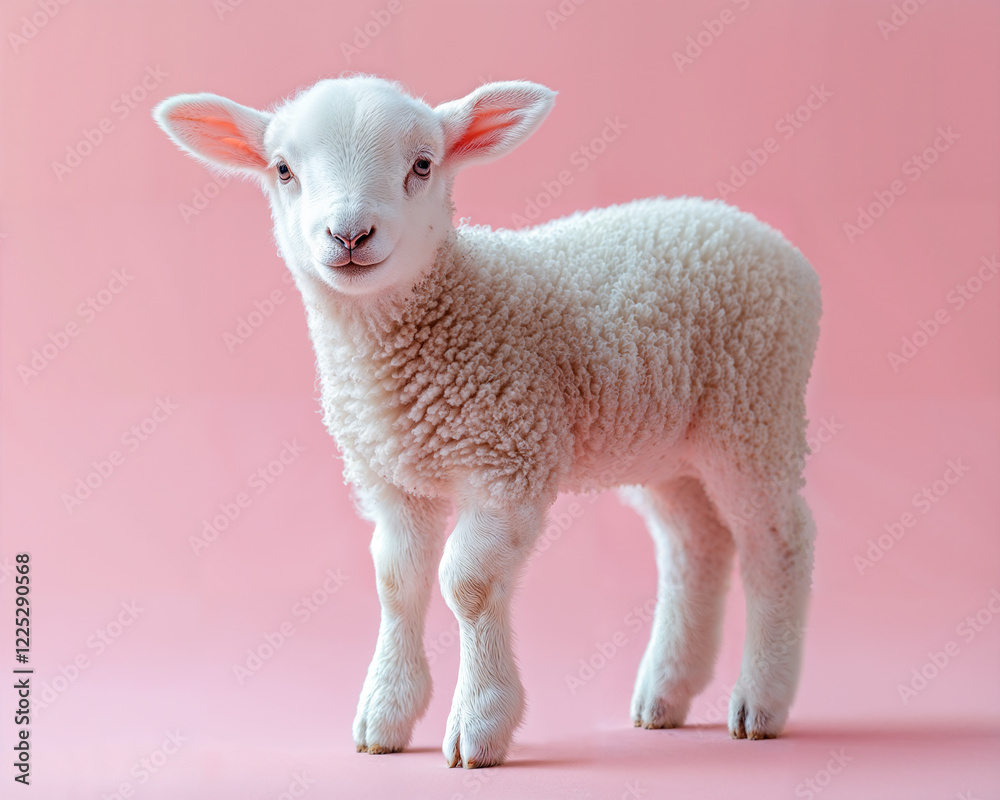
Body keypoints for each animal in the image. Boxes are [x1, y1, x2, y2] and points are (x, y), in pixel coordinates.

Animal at [153, 75, 822, 769]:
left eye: (423, 164)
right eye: (283, 169)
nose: (350, 234)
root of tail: (766, 240)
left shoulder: (507, 462)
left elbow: (467, 584)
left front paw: (479, 724)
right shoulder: (393, 479)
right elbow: (397, 583)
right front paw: (385, 715)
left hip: (755, 412)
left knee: (778, 542)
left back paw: (760, 701)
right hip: (667, 446)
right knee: (696, 543)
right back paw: (665, 694)